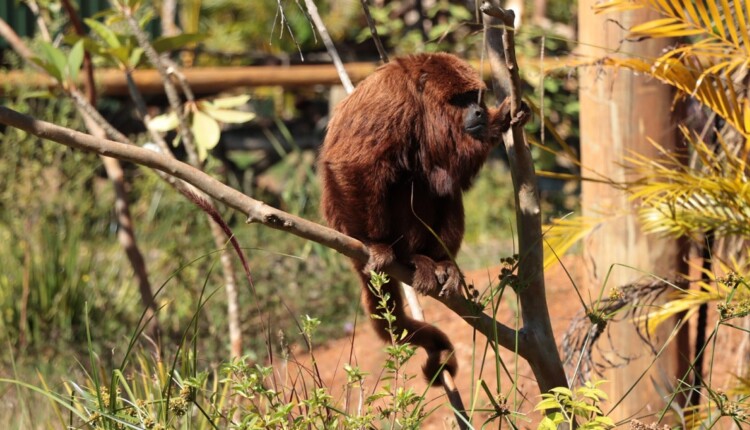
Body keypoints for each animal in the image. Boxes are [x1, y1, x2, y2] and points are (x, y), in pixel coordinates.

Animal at [318, 53, 524, 386]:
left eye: (474, 97)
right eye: (461, 99)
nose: (480, 110)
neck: (420, 100)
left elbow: (452, 173)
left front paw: (499, 119)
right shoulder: (391, 102)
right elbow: (353, 164)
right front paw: (372, 243)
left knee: (443, 188)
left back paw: (440, 262)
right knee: (404, 179)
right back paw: (408, 257)